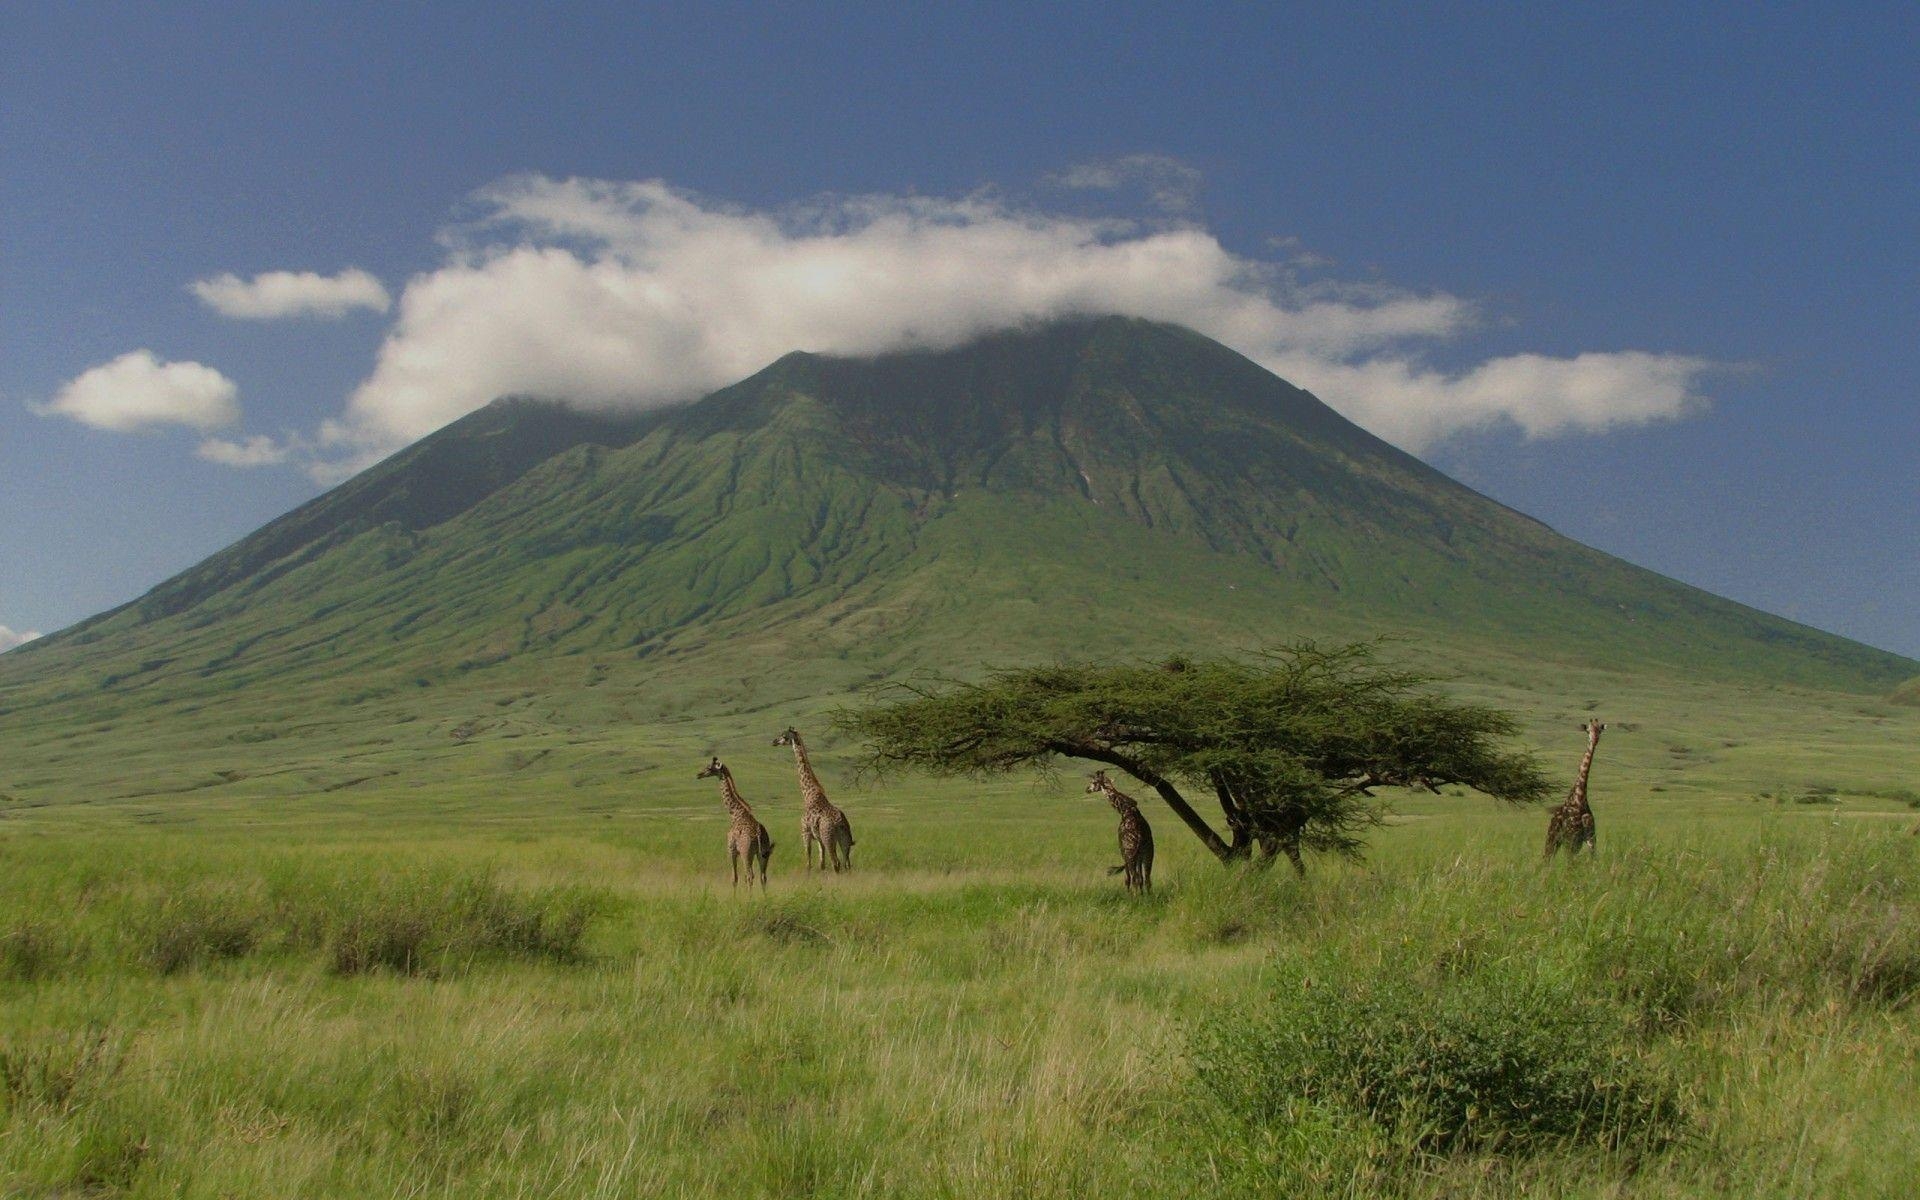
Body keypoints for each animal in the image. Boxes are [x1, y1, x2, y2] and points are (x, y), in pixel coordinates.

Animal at [698, 756, 771, 890]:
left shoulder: (731, 850)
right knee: (763, 877)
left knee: (750, 875)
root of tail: (759, 835)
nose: (699, 774)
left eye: (709, 768)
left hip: (746, 853)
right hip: (763, 853)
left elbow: (734, 878)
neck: (735, 813)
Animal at [771, 725, 856, 875]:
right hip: (844, 839)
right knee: (846, 864)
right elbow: (821, 863)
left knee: (836, 863)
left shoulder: (805, 832)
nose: (774, 741)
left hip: (829, 837)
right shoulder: (818, 839)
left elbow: (808, 861)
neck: (809, 794)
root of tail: (840, 822)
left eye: (784, 735)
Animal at [1543, 714, 1605, 856]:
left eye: (1599, 730)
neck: (1580, 797)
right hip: (1553, 837)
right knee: (1547, 857)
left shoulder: (1590, 838)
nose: (1595, 739)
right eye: (1588, 730)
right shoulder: (1571, 838)